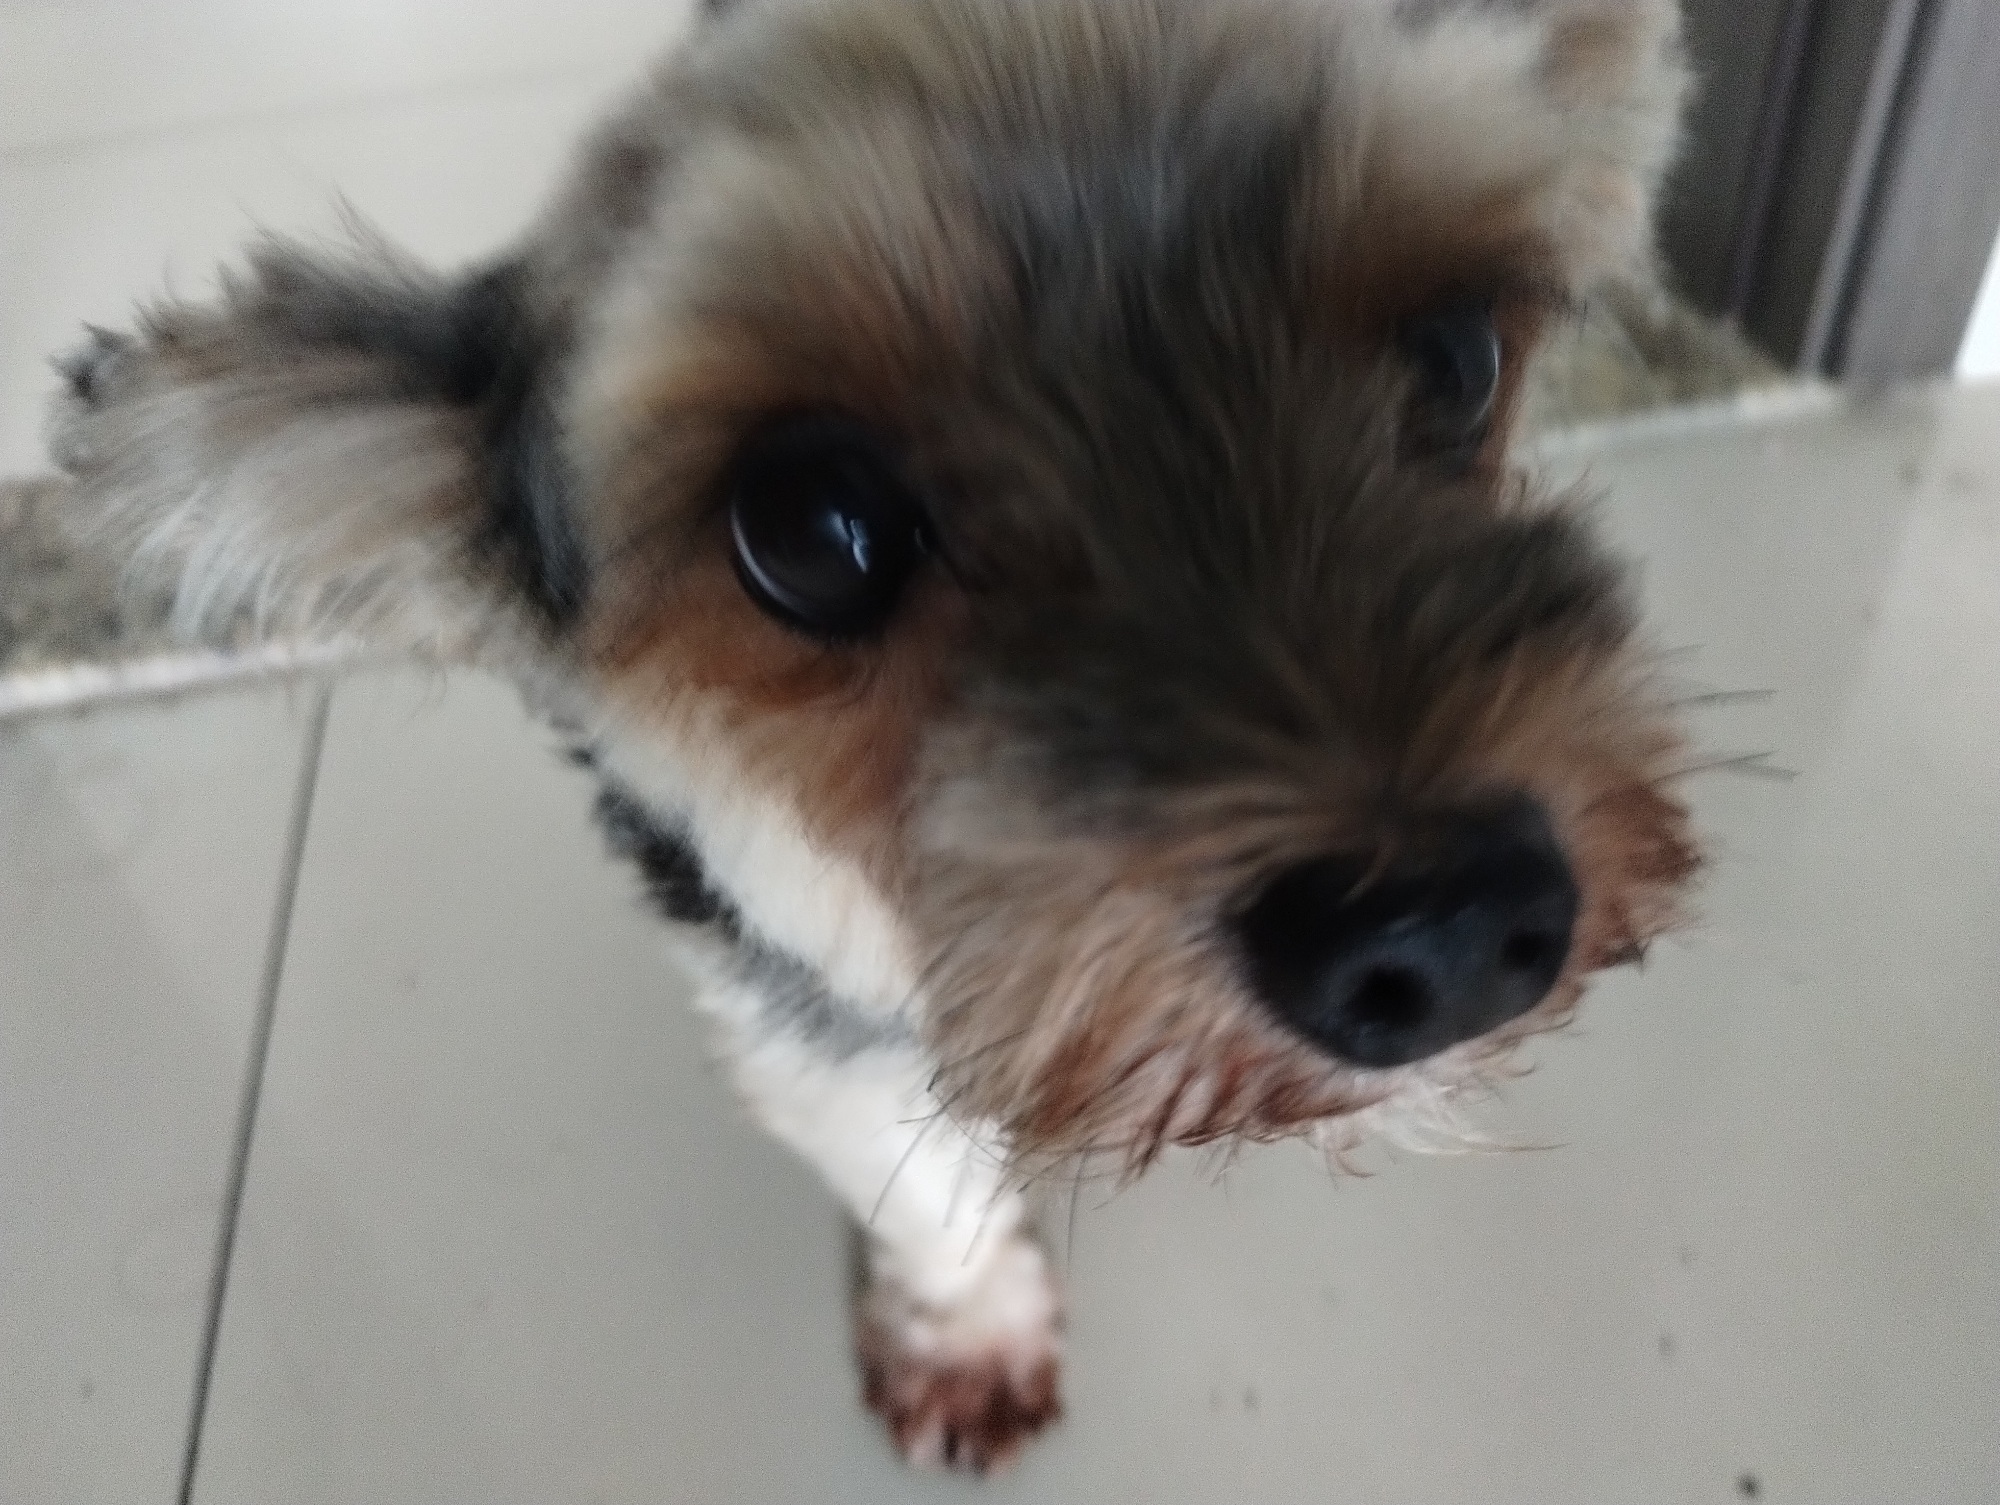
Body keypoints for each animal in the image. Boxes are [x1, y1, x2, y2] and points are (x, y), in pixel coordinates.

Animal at [47, 0, 1697, 1472]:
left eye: (1457, 359)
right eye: (813, 531)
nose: (1443, 928)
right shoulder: (805, 996)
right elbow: (919, 1180)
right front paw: (965, 1332)